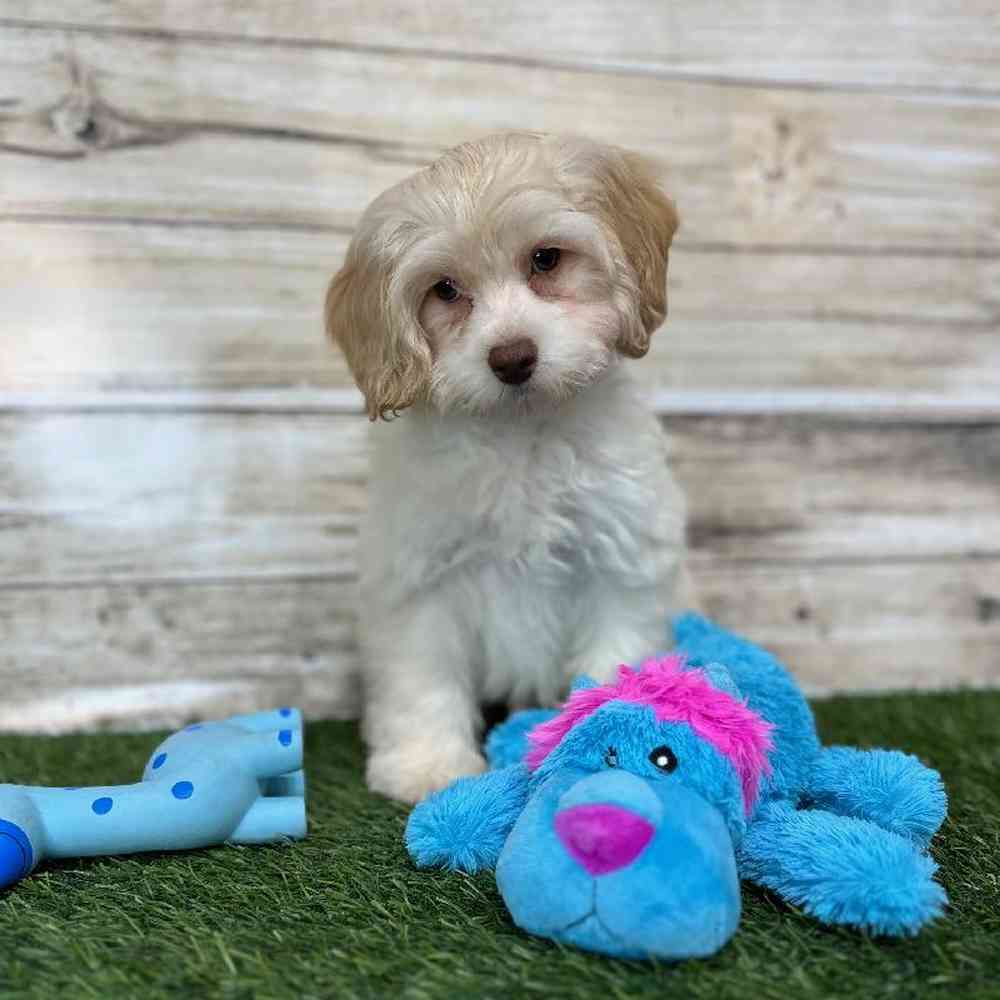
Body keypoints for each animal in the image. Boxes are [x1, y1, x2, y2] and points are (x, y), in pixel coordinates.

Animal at [324, 135, 692, 804]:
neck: (520, 432)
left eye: (545, 260)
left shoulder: (620, 556)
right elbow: (423, 676)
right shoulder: (420, 575)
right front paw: (427, 764)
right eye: (445, 290)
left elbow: (615, 651)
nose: (512, 356)